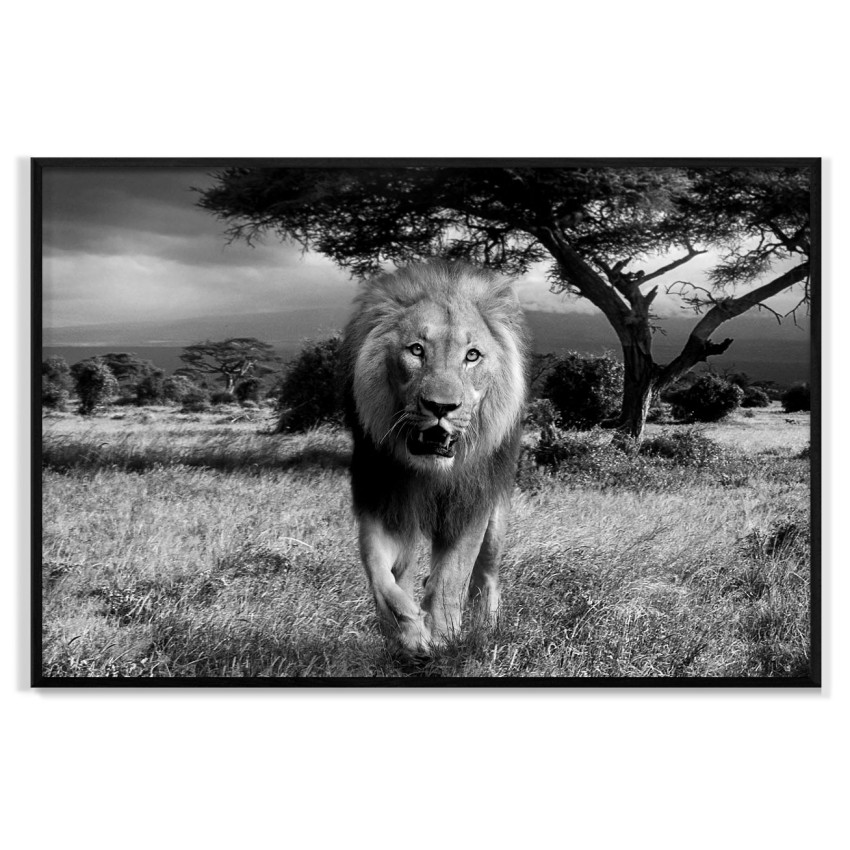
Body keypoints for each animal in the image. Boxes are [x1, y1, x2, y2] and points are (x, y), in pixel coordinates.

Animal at [341, 261, 529, 656]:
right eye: (416, 350)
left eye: (472, 355)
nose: (441, 407)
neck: (430, 471)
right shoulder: (382, 500)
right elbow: (379, 573)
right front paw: (409, 632)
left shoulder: (471, 506)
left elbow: (451, 577)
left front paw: (443, 636)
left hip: (497, 519)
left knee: (487, 574)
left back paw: (486, 630)